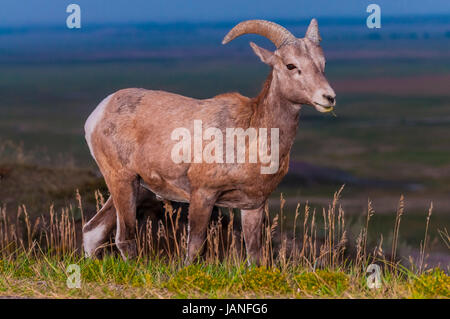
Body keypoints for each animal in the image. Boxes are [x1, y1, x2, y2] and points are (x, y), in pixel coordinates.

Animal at [82, 18, 336, 264]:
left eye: (322, 64)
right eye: (291, 65)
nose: (328, 97)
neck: (250, 136)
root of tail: (99, 112)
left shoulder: (253, 206)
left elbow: (255, 256)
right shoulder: (203, 196)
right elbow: (194, 249)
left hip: (137, 188)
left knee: (92, 231)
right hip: (122, 181)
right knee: (124, 238)